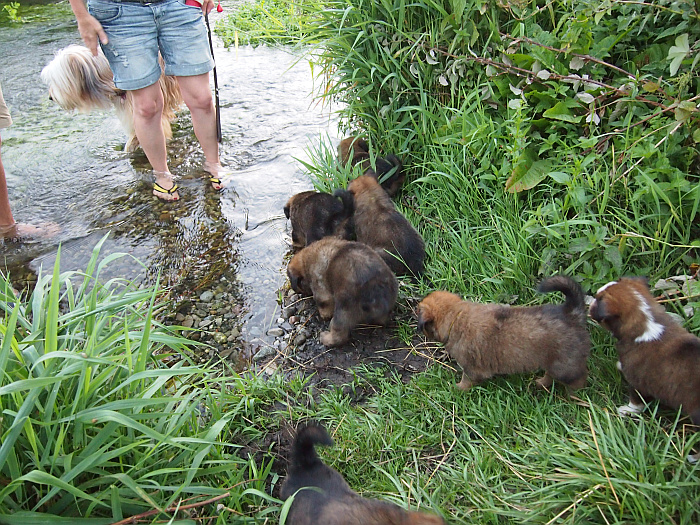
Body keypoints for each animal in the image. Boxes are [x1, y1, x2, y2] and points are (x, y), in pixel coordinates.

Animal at [417, 275, 590, 391]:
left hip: (564, 365)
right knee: (549, 374)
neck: (455, 316)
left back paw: (572, 395)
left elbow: (466, 380)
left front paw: (457, 388)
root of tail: (572, 313)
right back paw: (540, 383)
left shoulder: (471, 368)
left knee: (578, 379)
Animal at [589, 277, 700, 463]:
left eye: (598, 300)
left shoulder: (638, 383)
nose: (589, 302)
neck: (647, 323)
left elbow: (636, 402)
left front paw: (626, 411)